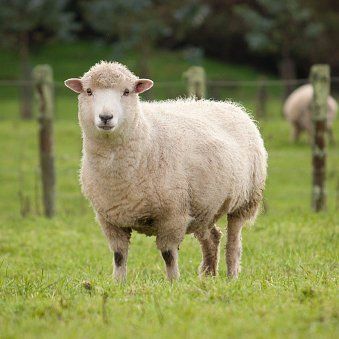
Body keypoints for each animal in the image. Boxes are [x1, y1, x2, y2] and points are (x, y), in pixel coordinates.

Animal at [65, 60, 270, 282]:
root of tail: (231, 105)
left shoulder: (173, 215)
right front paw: (118, 283)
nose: (105, 117)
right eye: (89, 91)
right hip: (204, 206)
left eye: (127, 91)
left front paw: (173, 283)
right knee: (212, 237)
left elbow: (168, 255)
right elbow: (119, 256)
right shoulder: (110, 219)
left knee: (233, 243)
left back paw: (231, 276)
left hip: (245, 201)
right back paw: (208, 276)